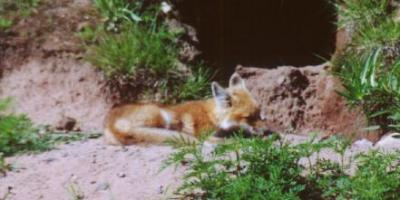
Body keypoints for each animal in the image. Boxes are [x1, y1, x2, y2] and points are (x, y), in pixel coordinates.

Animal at [103, 72, 266, 145]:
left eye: (259, 114)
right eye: (248, 117)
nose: (266, 130)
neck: (212, 116)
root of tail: (111, 123)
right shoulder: (206, 135)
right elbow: (235, 139)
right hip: (163, 116)